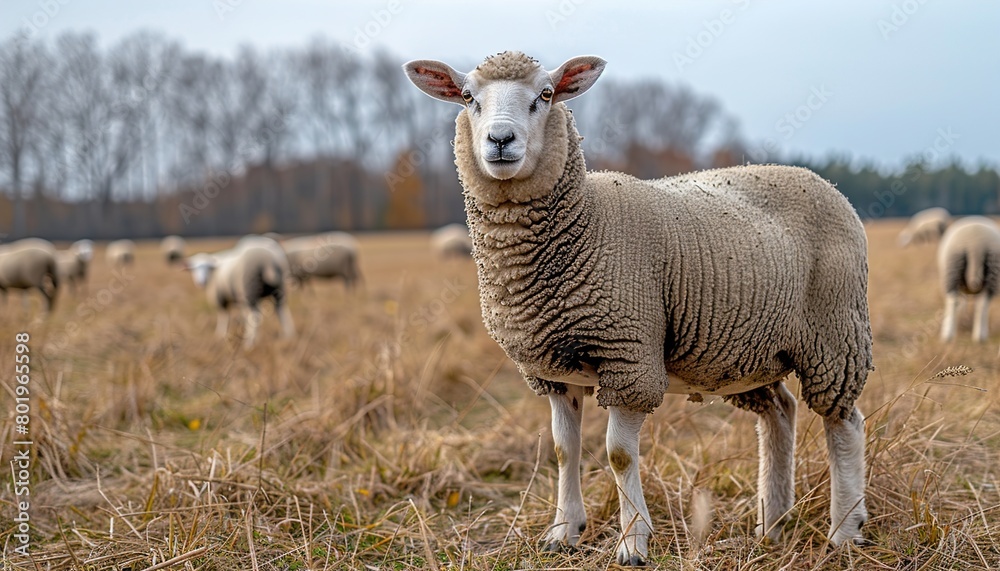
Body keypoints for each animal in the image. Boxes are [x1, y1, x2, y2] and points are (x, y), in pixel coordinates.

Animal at [405, 52, 872, 564]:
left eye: (545, 95)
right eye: (468, 97)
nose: (500, 140)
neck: (583, 220)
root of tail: (822, 181)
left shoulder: (630, 355)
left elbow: (618, 454)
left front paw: (632, 543)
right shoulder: (555, 371)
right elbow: (564, 449)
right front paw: (563, 532)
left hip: (836, 337)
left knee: (844, 424)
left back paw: (845, 531)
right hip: (751, 351)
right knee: (780, 414)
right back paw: (772, 525)